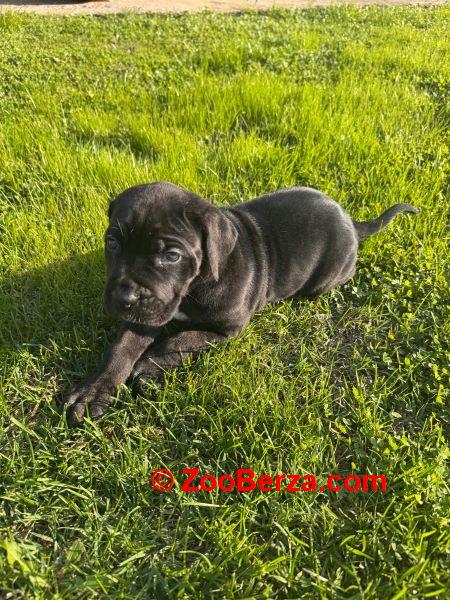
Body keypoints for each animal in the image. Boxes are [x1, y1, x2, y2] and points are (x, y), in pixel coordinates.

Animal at [61, 180, 416, 424]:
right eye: (112, 243)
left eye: (171, 256)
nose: (124, 297)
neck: (196, 284)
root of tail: (352, 222)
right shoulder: (147, 314)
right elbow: (121, 348)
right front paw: (95, 389)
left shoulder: (227, 329)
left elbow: (183, 339)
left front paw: (149, 366)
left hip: (326, 280)